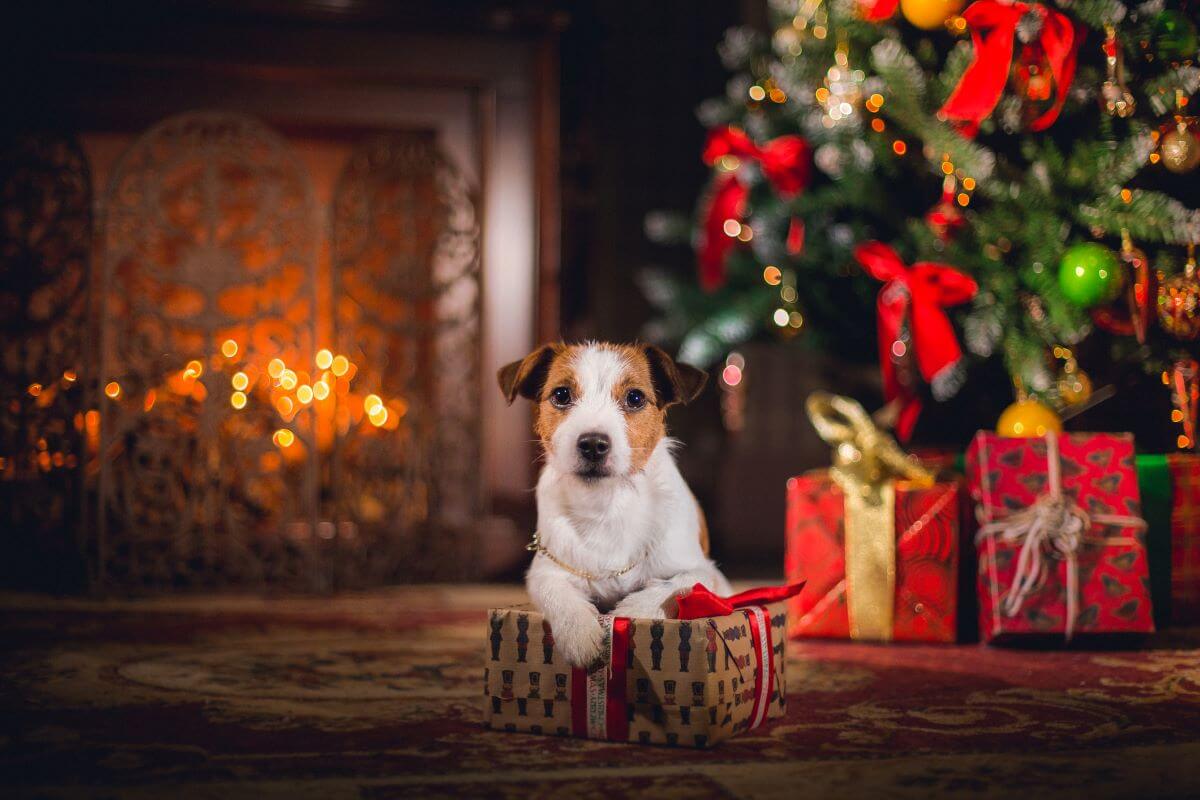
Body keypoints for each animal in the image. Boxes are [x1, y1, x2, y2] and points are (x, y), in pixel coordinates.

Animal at [496, 340, 729, 666]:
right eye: (562, 395)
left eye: (635, 397)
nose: (593, 444)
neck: (606, 505)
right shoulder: (546, 572)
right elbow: (557, 593)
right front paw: (579, 632)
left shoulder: (703, 572)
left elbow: (676, 587)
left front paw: (631, 613)